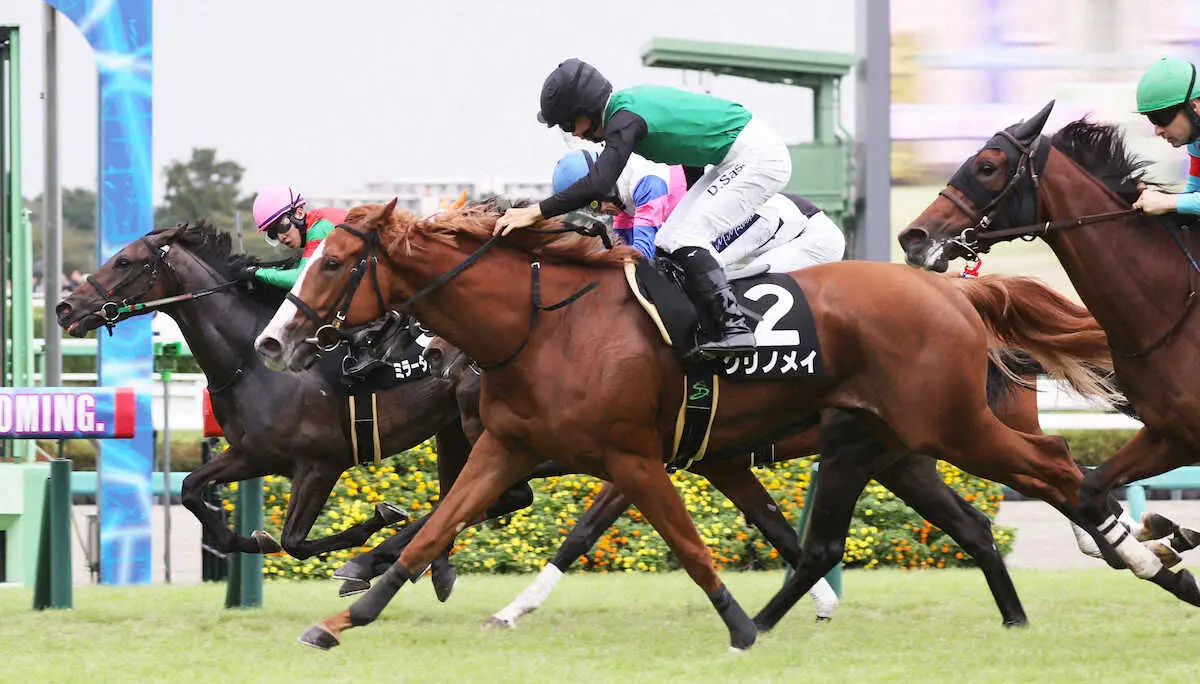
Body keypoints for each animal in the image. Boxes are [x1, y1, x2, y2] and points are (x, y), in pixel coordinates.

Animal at [258, 198, 1118, 648]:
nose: (277, 341)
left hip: (949, 424)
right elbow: (441, 523)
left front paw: (742, 627)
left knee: (1056, 466)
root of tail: (955, 293)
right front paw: (348, 612)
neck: (546, 325)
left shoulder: (633, 456)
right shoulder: (512, 447)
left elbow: (676, 545)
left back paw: (1123, 542)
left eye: (333, 263)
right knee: (970, 523)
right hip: (896, 446)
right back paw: (1022, 611)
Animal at [902, 99, 1200, 602]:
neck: (1174, 308)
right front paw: (1159, 551)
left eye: (987, 166)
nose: (913, 237)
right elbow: (1091, 489)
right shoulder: (1171, 432)